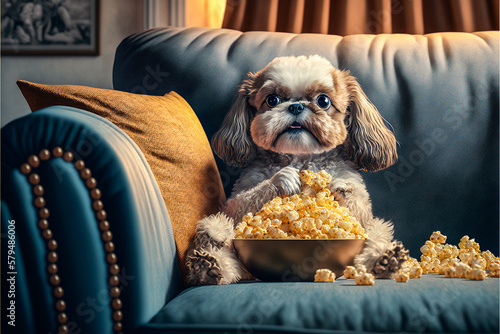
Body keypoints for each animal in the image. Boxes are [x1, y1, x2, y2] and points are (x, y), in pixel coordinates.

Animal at [186, 54, 408, 284]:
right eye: (272, 100)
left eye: (323, 101)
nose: (296, 106)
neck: (301, 157)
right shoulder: (237, 202)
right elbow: (245, 200)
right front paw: (283, 178)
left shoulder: (361, 211)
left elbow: (358, 206)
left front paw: (341, 187)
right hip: (218, 227)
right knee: (217, 238)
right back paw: (208, 266)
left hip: (378, 229)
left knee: (376, 237)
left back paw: (385, 261)